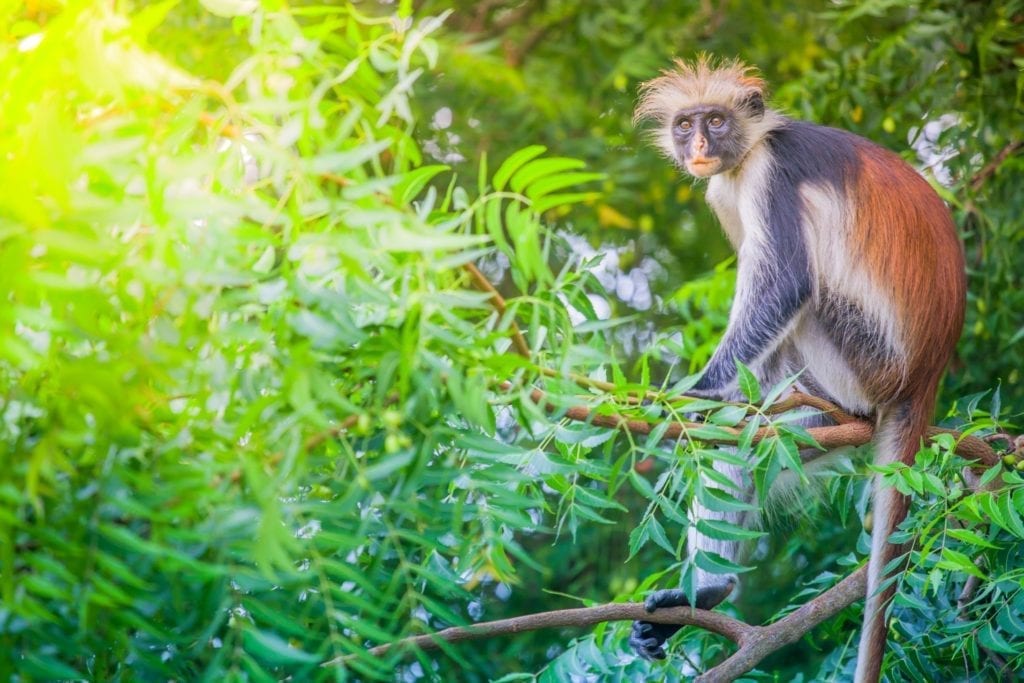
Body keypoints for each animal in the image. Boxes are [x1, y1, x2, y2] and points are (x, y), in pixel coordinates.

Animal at [622, 56, 966, 679]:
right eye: (686, 125)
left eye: (716, 120)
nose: (700, 144)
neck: (749, 149)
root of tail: (924, 376)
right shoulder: (725, 187)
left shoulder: (769, 174)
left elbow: (785, 285)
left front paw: (697, 393)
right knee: (738, 441)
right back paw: (708, 593)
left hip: (864, 358)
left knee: (802, 304)